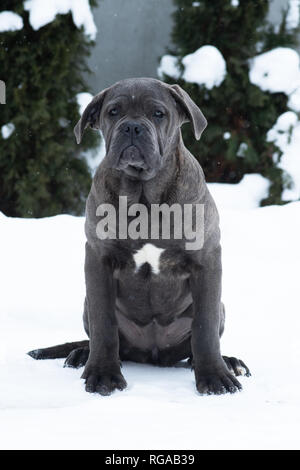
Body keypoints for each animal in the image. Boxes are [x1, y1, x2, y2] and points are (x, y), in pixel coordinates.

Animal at [28, 79, 250, 394]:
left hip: (220, 307)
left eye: (158, 113)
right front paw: (103, 373)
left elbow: (204, 328)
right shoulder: (98, 259)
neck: (144, 195)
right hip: (86, 305)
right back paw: (82, 353)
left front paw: (215, 376)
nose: (132, 127)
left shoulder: (206, 260)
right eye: (113, 112)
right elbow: (104, 323)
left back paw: (229, 362)